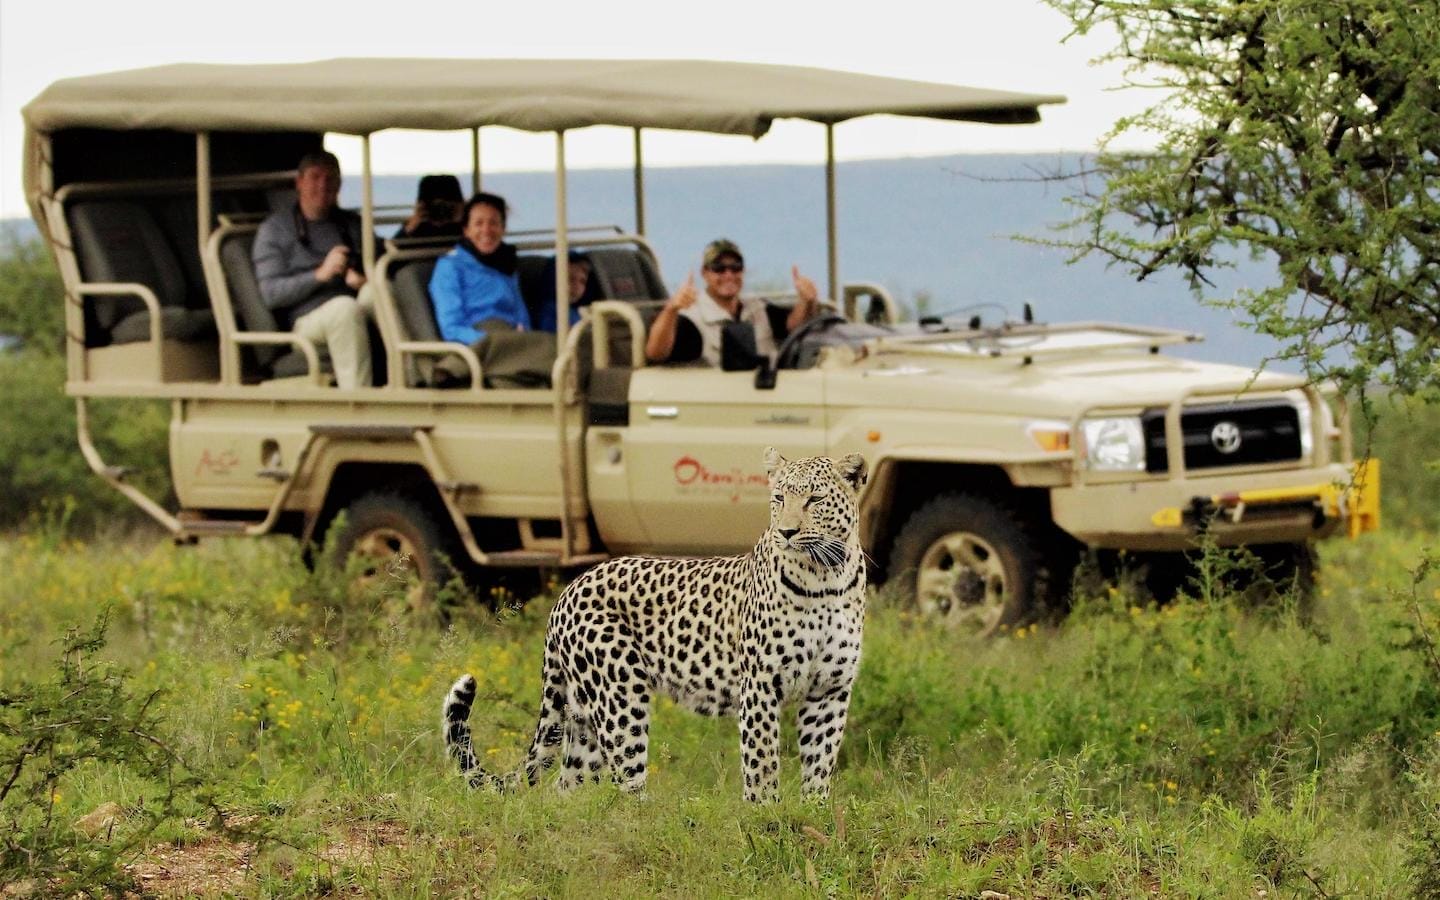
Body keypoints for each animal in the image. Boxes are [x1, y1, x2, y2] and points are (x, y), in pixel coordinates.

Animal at [437, 446, 864, 806]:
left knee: (567, 785)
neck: (825, 577)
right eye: (778, 499)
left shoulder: (830, 690)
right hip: (619, 693)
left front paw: (813, 813)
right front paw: (765, 817)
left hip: (583, 715)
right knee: (627, 781)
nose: (787, 532)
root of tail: (567, 592)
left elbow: (820, 761)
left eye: (815, 500)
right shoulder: (760, 684)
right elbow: (762, 762)